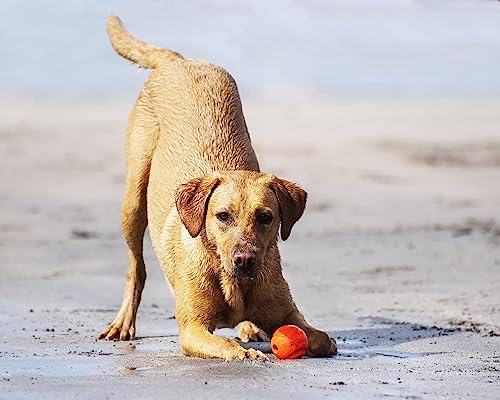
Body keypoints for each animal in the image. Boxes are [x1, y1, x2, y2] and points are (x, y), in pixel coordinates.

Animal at [98, 15, 336, 360]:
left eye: (265, 217)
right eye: (222, 216)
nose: (245, 259)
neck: (235, 283)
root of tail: (180, 61)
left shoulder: (289, 312)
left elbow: (322, 338)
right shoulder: (192, 328)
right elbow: (223, 344)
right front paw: (246, 353)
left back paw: (248, 327)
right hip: (132, 198)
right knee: (135, 268)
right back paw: (123, 322)